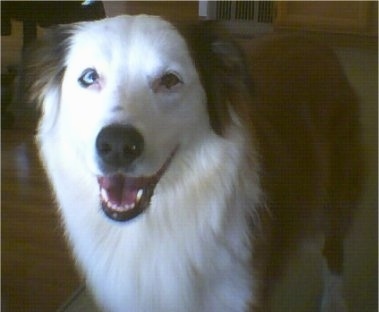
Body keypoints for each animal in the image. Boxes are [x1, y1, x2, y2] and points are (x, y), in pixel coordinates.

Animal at [28, 15, 364, 312]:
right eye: (89, 77)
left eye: (169, 80)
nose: (118, 146)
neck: (154, 225)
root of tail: (311, 40)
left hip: (338, 194)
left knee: (334, 252)